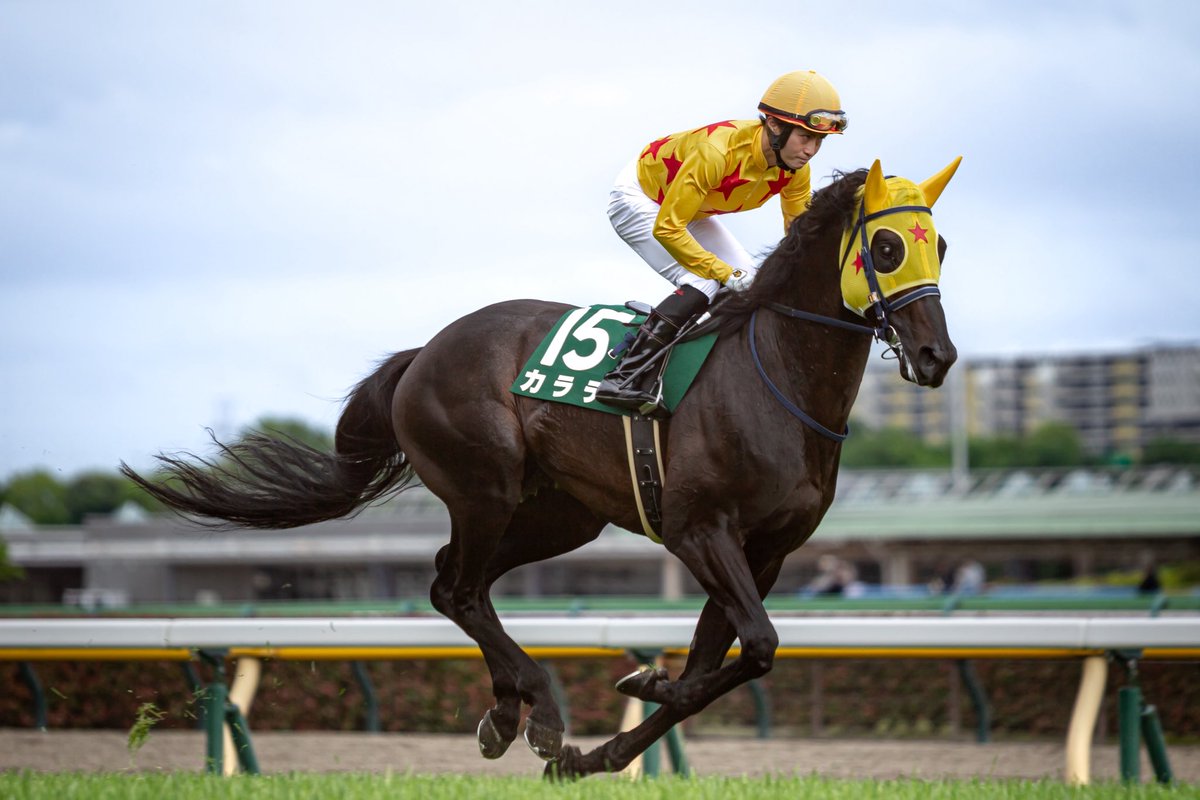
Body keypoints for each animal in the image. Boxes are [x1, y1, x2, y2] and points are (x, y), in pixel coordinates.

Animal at [122, 156, 961, 778]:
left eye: (941, 247)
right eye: (887, 249)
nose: (937, 356)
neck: (776, 378)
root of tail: (423, 352)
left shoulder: (766, 551)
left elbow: (717, 662)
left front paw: (618, 726)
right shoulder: (700, 530)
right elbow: (751, 647)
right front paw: (615, 712)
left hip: (561, 515)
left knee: (453, 584)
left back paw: (508, 714)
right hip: (484, 486)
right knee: (459, 587)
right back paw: (538, 713)